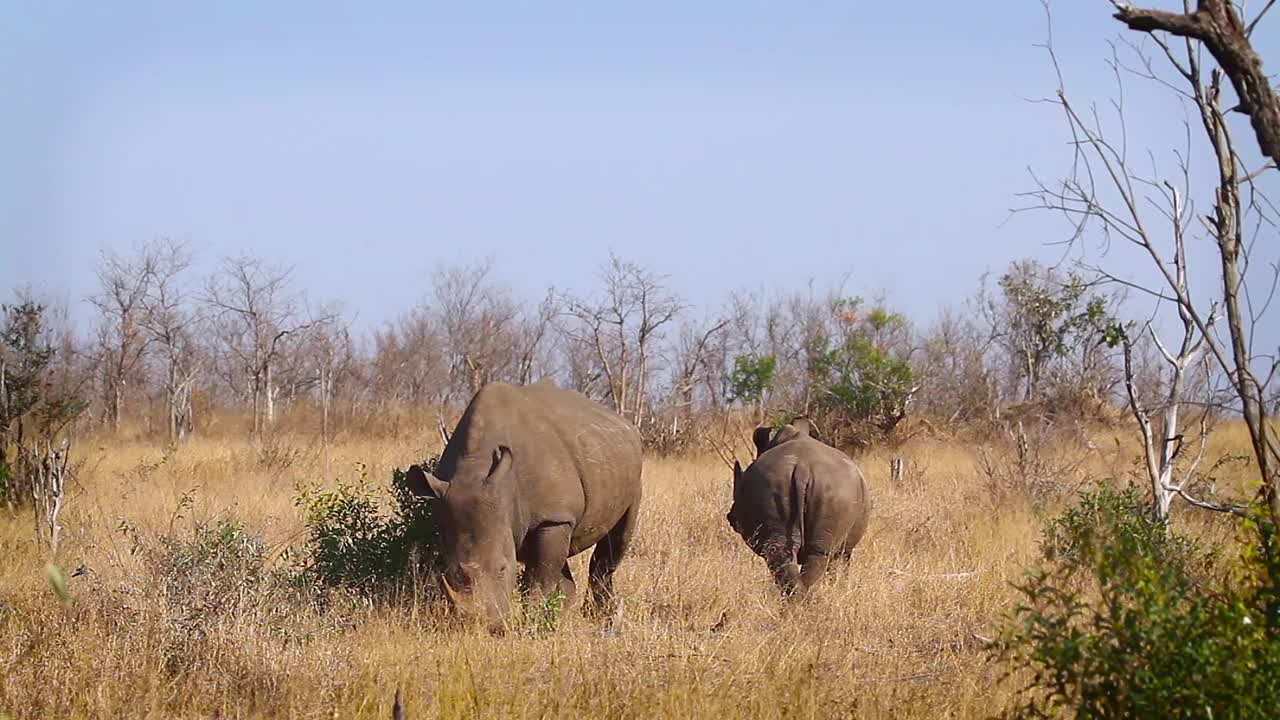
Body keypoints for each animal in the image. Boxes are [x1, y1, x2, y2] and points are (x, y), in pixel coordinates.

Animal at [401, 379, 640, 630]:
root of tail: (625, 423)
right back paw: (564, 617)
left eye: (502, 568)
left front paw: (531, 624)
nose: (486, 626)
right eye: (451, 572)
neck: (475, 470)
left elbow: (540, 577)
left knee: (616, 542)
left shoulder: (554, 517)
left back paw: (599, 616)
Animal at [732, 415, 870, 594]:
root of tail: (802, 469)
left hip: (778, 485)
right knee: (816, 555)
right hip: (830, 493)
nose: (731, 517)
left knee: (788, 554)